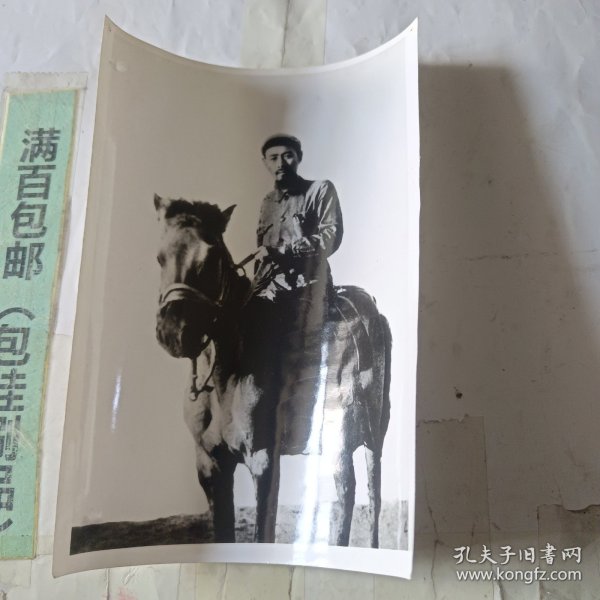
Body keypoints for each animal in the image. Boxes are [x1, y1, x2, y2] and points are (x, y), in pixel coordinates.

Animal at [154, 194, 391, 547]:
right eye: (160, 257)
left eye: (211, 257)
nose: (175, 331)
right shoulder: (210, 465)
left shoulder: (263, 459)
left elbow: (262, 532)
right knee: (344, 492)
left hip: (372, 432)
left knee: (370, 491)